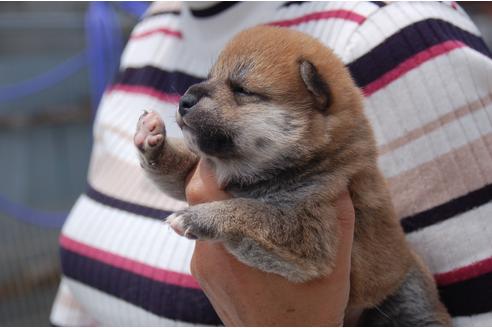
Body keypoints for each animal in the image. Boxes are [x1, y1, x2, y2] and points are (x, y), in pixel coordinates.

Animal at [134, 26, 450, 326]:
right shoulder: (196, 172)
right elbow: (178, 170)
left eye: (241, 90)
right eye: (210, 78)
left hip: (407, 296)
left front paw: (200, 217)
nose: (184, 100)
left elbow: (249, 211)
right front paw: (152, 138)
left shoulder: (311, 228)